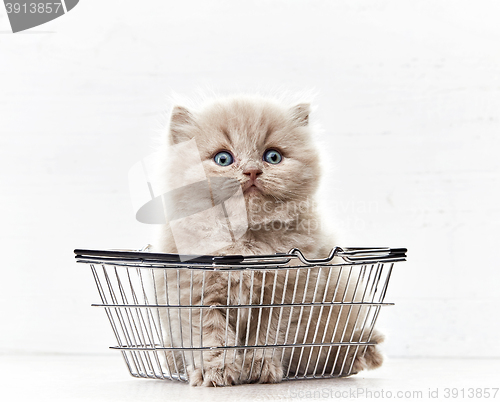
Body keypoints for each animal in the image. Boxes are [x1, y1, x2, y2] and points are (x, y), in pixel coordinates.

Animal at [150, 94, 380, 386]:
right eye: (223, 158)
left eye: (272, 156)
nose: (251, 171)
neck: (246, 242)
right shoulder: (192, 295)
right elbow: (212, 337)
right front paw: (217, 371)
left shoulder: (287, 295)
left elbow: (268, 335)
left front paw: (259, 367)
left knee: (330, 355)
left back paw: (360, 353)